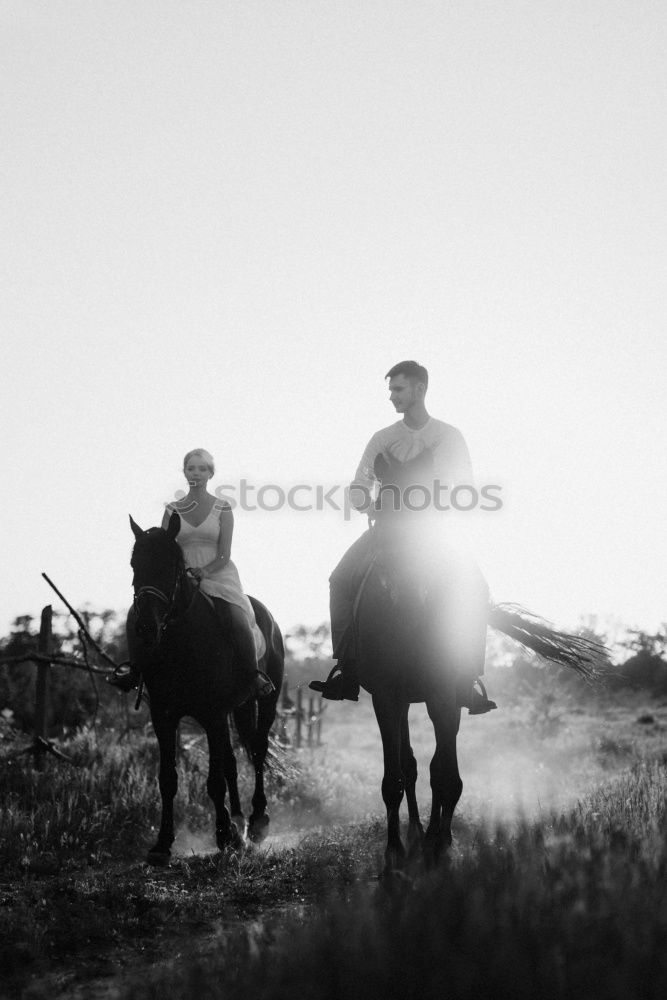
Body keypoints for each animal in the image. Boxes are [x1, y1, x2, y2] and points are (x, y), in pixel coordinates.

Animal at [128, 512, 284, 864]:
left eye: (171, 565)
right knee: (231, 761)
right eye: (134, 564)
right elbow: (168, 779)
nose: (145, 628)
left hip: (262, 703)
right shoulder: (164, 716)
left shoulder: (212, 714)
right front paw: (162, 844)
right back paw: (240, 825)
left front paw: (224, 835)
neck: (182, 641)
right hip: (235, 709)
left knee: (257, 750)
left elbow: (214, 781)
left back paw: (256, 823)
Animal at [350, 450, 604, 872]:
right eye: (383, 504)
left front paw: (440, 844)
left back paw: (430, 834)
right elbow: (395, 778)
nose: (400, 579)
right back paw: (414, 834)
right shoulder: (385, 696)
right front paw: (395, 854)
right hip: (402, 700)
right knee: (410, 766)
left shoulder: (443, 693)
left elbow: (445, 776)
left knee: (434, 764)